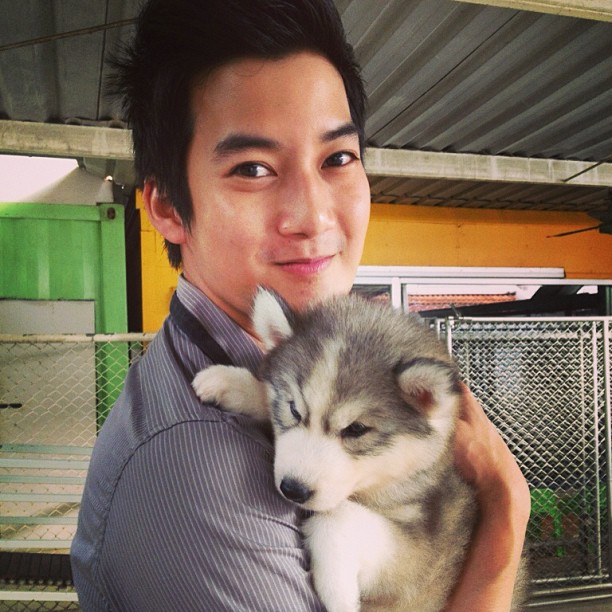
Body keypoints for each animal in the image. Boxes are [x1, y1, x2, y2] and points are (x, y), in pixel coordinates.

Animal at [192, 289, 527, 611]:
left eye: (355, 429)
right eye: (294, 409)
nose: (293, 490)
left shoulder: (422, 563)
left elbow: (339, 513)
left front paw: (337, 591)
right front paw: (234, 382)